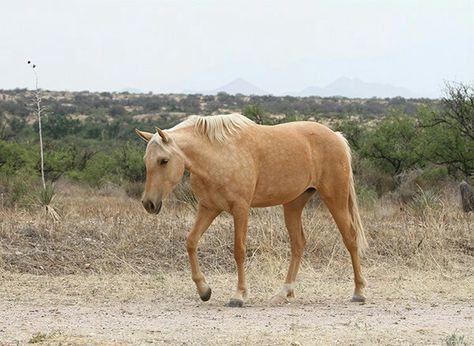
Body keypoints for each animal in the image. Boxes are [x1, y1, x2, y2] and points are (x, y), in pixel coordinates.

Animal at [135, 113, 368, 306]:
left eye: (163, 161)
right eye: (146, 161)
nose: (149, 203)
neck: (217, 155)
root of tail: (336, 136)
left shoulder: (240, 209)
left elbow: (239, 251)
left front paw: (238, 295)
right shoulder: (208, 208)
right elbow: (191, 242)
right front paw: (204, 290)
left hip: (335, 199)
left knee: (350, 238)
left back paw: (359, 292)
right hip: (293, 204)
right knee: (298, 244)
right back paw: (284, 292)